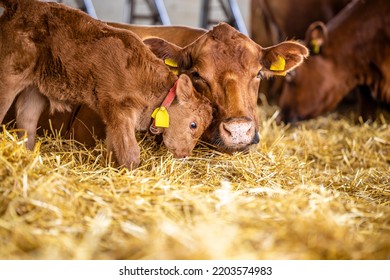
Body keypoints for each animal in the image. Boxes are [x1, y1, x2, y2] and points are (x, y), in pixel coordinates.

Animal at [0, 0, 213, 168]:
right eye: (193, 124)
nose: (184, 154)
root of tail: (22, 5)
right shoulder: (119, 110)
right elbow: (130, 151)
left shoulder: (114, 120)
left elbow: (114, 147)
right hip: (10, 73)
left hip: (35, 87)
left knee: (26, 118)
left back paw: (27, 155)